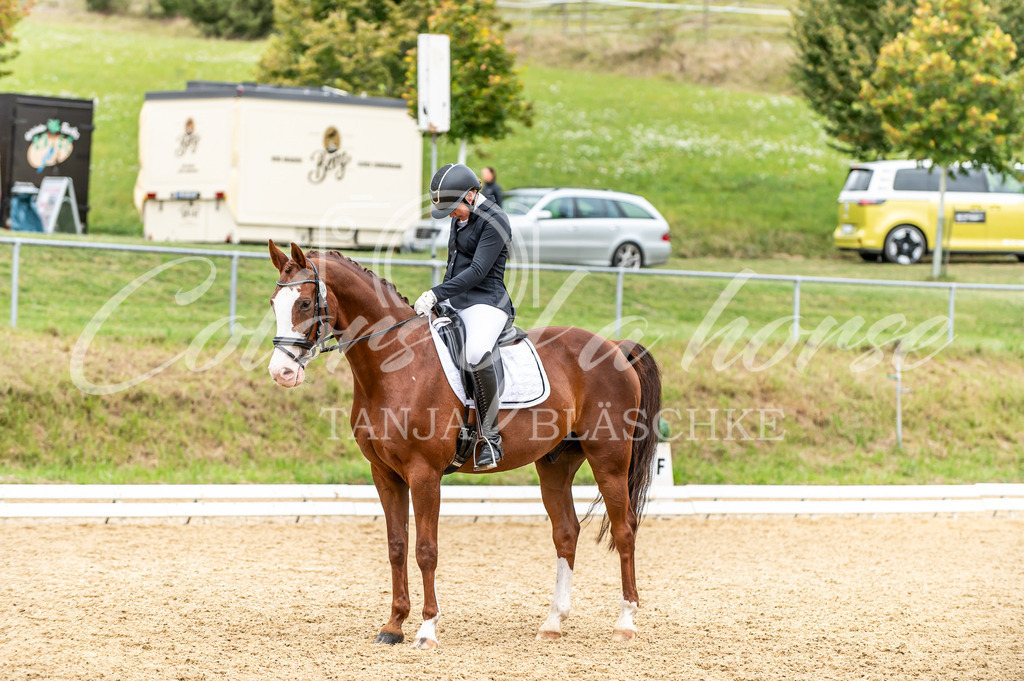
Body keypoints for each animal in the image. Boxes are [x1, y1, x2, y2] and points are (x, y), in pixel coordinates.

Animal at [268, 241, 659, 647]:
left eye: (305, 303)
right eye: (273, 303)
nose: (281, 372)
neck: (394, 364)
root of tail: (613, 346)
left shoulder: (424, 474)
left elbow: (426, 550)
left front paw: (427, 629)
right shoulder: (385, 474)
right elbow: (396, 547)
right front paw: (393, 626)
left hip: (609, 460)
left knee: (624, 529)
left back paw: (625, 622)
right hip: (556, 464)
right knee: (567, 532)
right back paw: (553, 622)